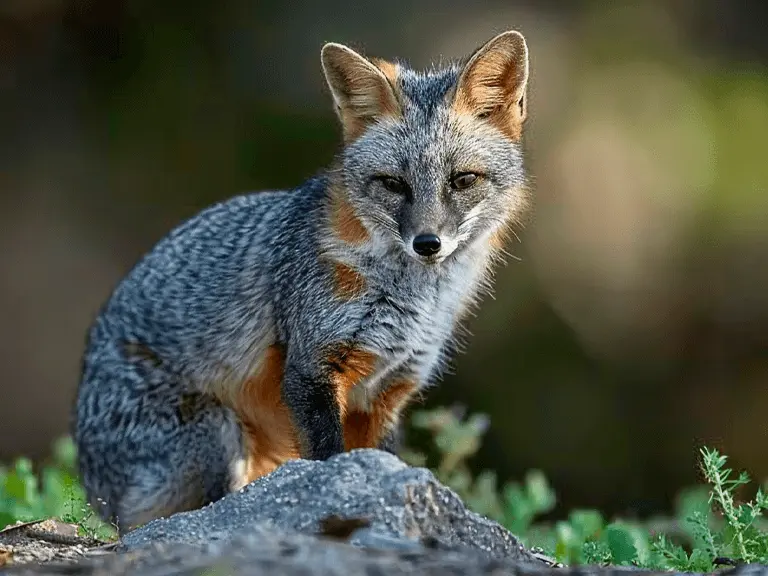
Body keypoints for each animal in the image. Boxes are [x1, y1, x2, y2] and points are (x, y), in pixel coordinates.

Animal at [72, 29, 532, 533]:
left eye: (463, 180)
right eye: (393, 184)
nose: (427, 243)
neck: (412, 301)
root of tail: (90, 487)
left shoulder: (387, 393)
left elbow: (379, 459)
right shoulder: (311, 368)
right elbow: (328, 458)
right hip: (218, 436)